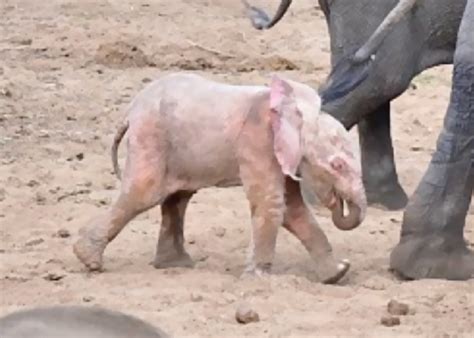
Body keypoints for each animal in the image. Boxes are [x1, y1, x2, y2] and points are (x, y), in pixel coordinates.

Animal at [74, 73, 368, 282]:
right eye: (337, 165)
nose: (338, 203)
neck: (296, 112)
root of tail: (130, 111)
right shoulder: (257, 142)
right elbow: (272, 204)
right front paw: (258, 280)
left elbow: (293, 209)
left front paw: (337, 273)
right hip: (151, 137)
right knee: (144, 192)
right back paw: (89, 260)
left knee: (176, 198)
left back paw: (176, 265)